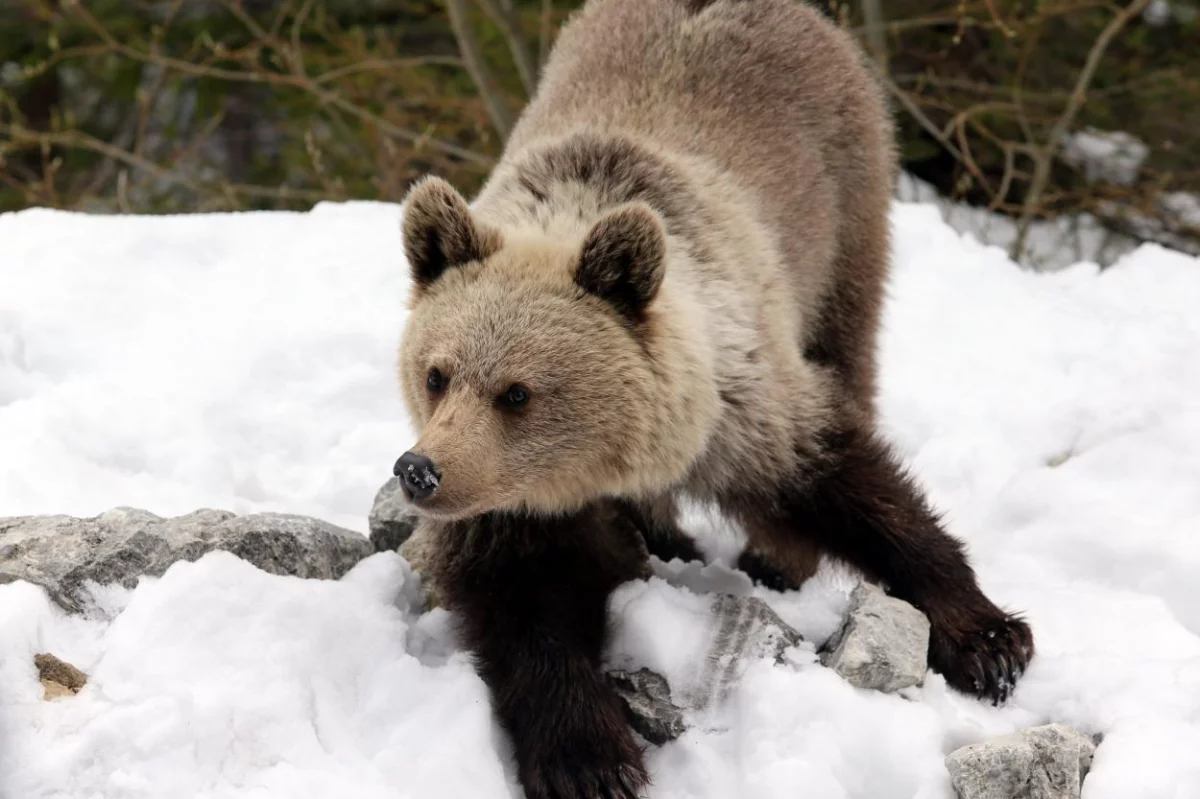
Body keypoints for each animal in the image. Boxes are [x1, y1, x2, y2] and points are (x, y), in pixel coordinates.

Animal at [391, 0, 1032, 791]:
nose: (421, 469)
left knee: (849, 352)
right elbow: (525, 605)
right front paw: (588, 755)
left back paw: (772, 559)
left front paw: (989, 639)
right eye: (437, 373)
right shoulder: (512, 505)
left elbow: (848, 481)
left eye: (518, 392)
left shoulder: (744, 399)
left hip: (844, 217)